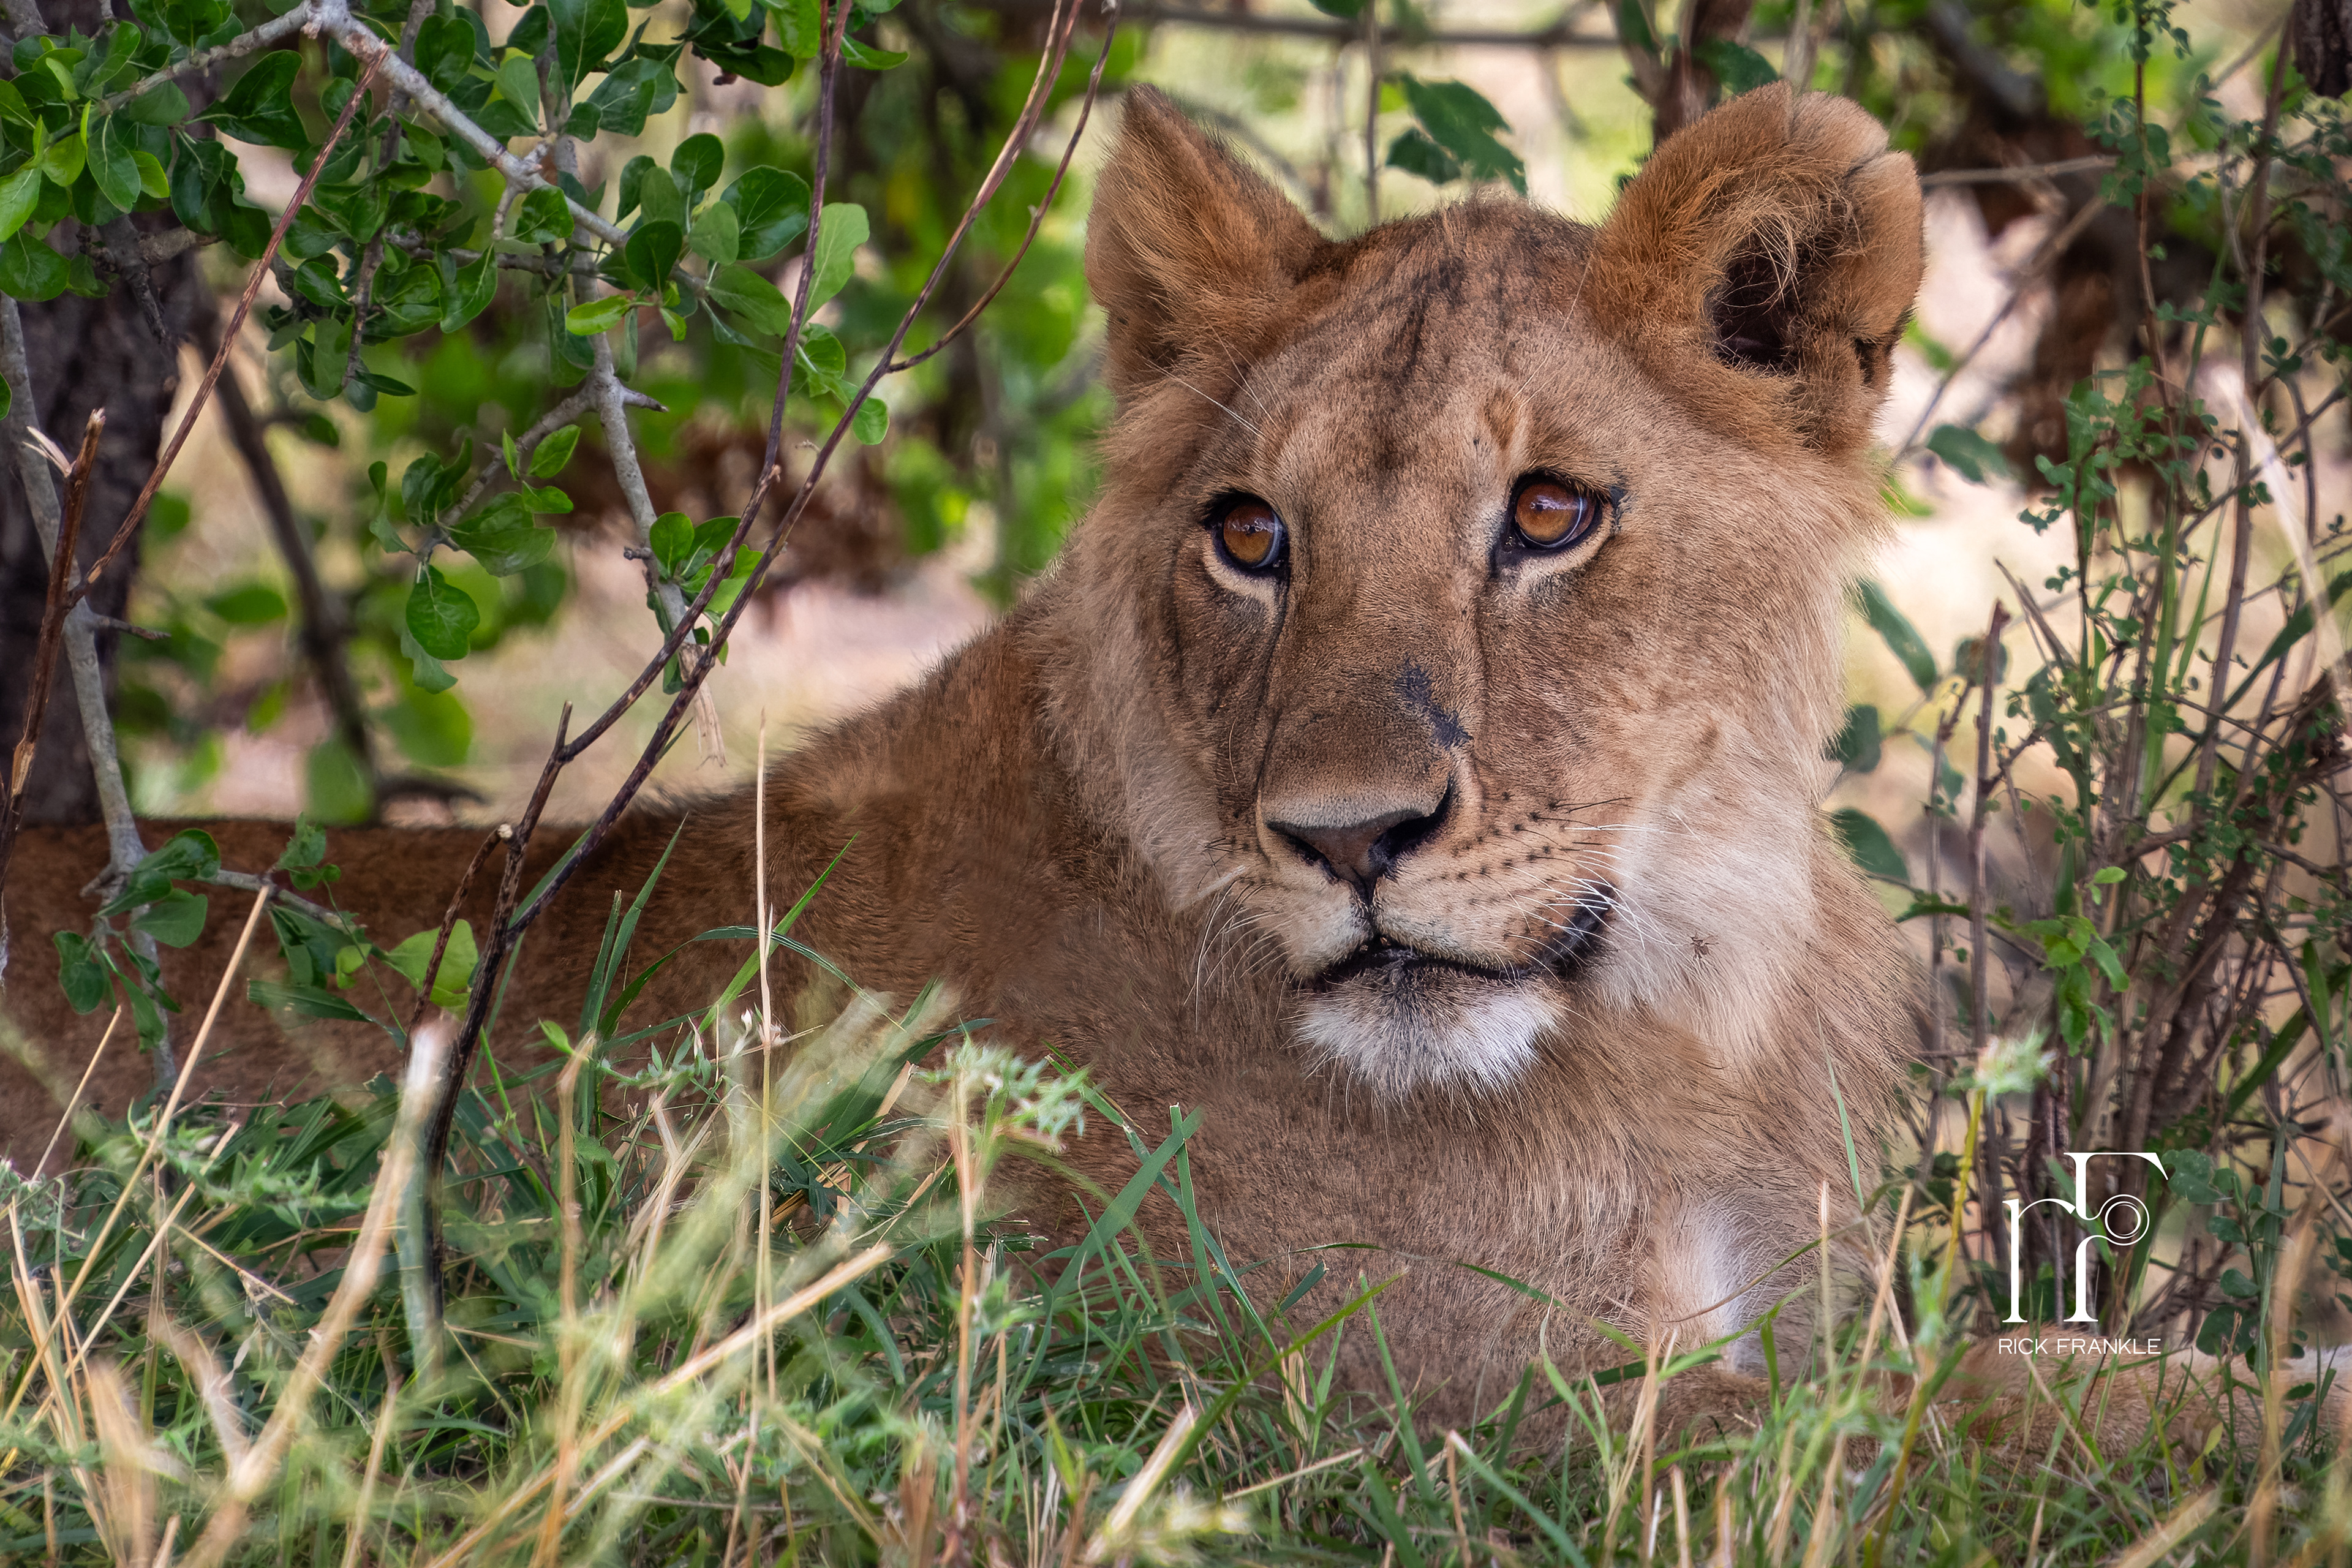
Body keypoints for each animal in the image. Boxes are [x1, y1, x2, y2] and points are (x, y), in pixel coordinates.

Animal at [9, 82, 1962, 1430]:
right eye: (1251, 537)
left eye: (1552, 515)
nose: (1348, 839)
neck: (1684, 1017)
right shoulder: (1429, 1397)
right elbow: (1938, 1424)